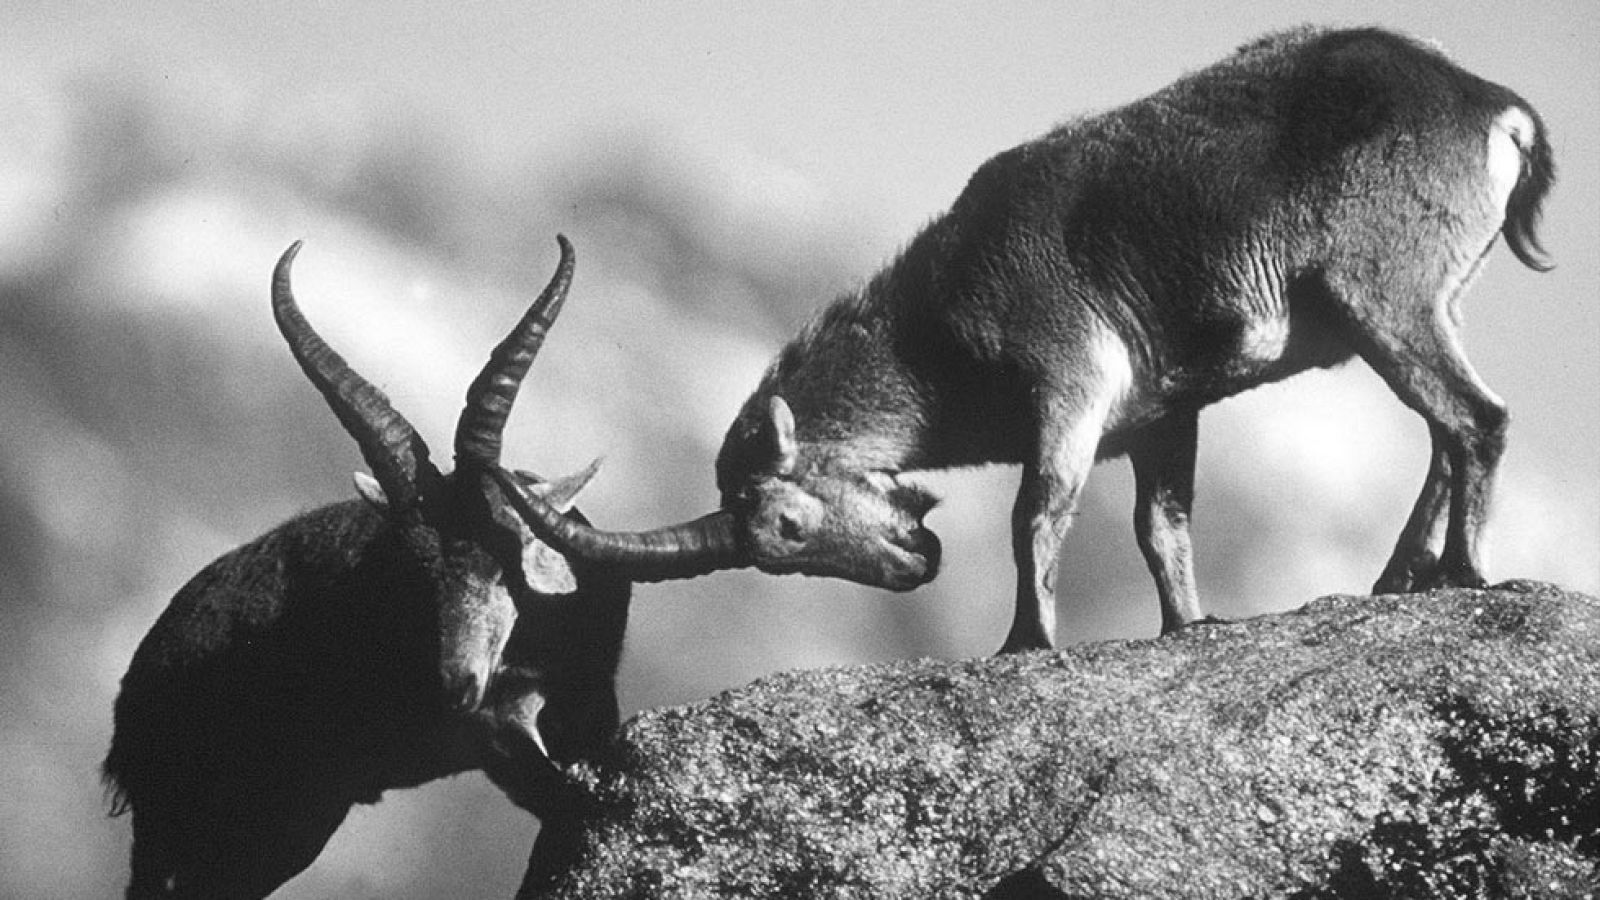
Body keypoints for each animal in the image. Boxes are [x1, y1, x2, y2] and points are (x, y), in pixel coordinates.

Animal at [103, 237, 736, 899]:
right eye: (416, 575)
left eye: (505, 559)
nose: (454, 684)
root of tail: (134, 696)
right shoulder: (493, 732)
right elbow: (558, 797)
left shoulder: (587, 702)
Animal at [513, 26, 1555, 653]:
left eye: (786, 527)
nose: (912, 569)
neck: (935, 336)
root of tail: (1493, 109)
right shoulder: (1162, 413)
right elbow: (1160, 531)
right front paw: (1188, 628)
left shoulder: (1070, 382)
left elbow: (1037, 515)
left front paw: (1027, 643)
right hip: (1421, 309)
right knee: (1446, 431)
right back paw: (1397, 579)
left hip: (1387, 296)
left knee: (1478, 419)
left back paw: (1463, 574)